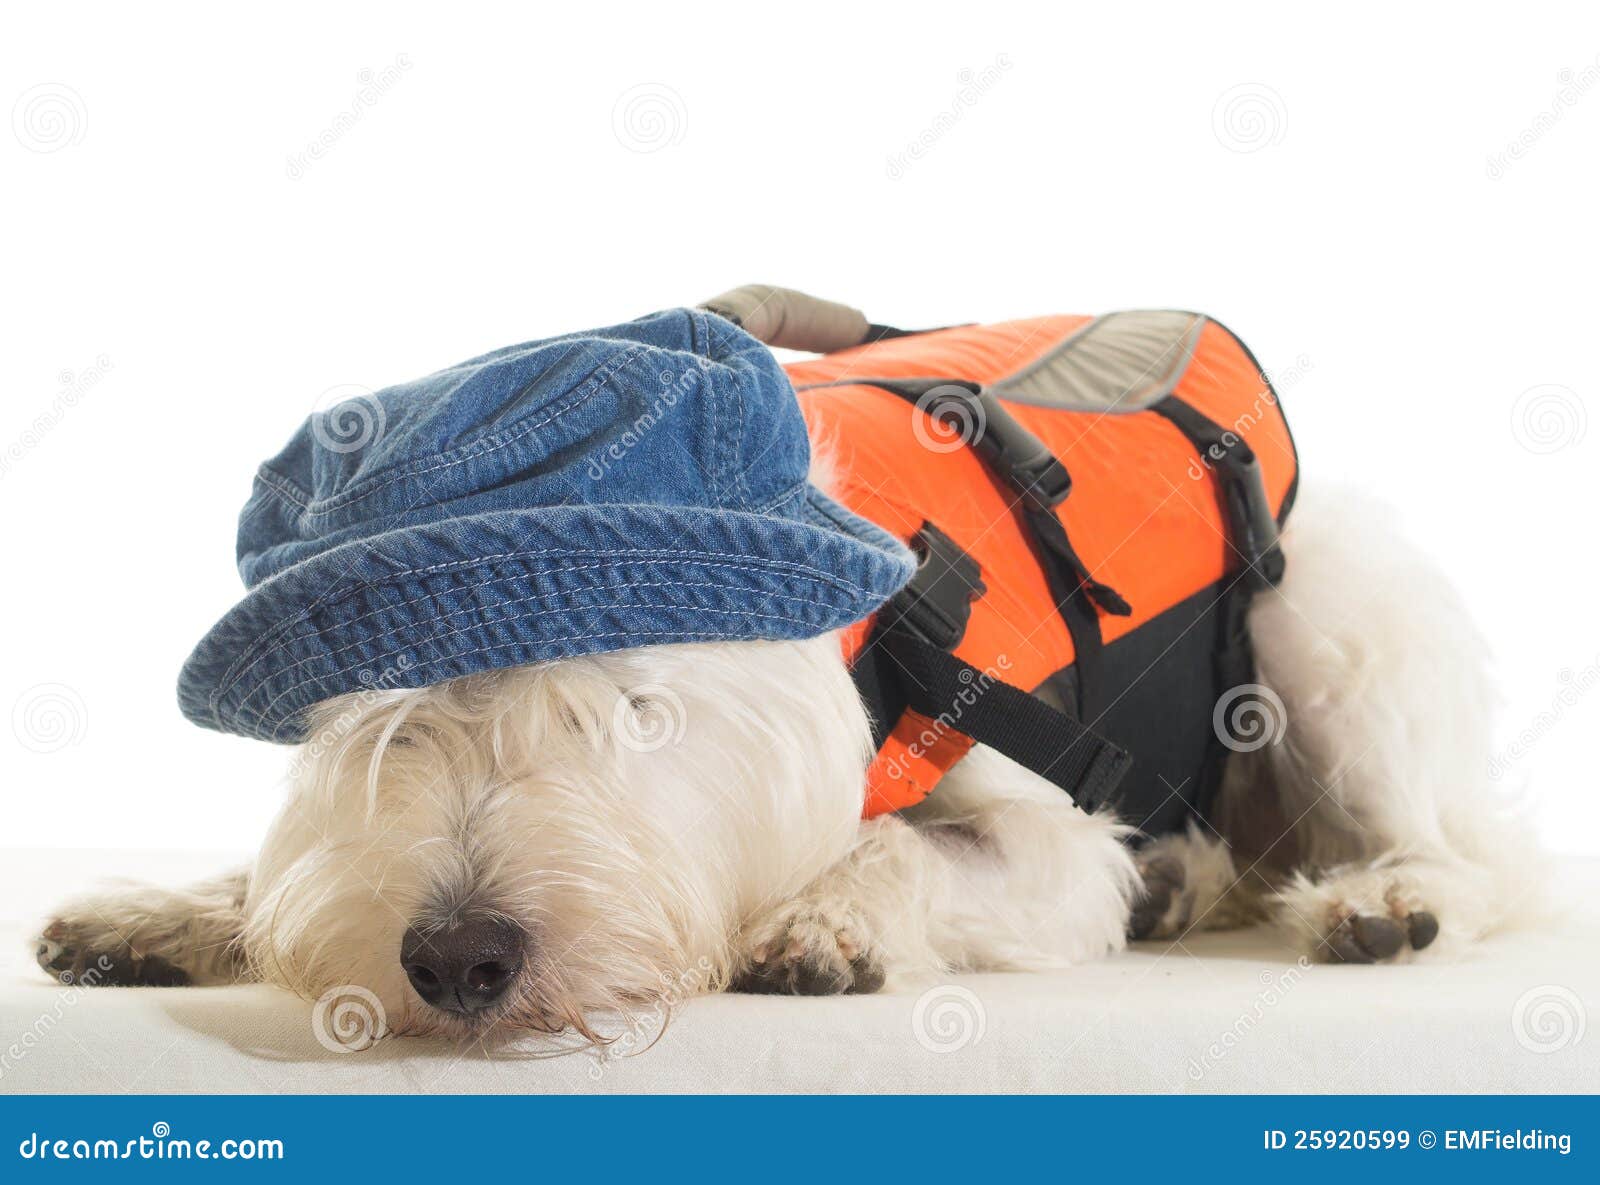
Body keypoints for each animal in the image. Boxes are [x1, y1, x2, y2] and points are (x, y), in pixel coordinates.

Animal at [37, 476, 1536, 1042]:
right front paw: (165, 913)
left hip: (1321, 614)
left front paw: (821, 915)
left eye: (626, 711)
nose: (458, 963)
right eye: (395, 726)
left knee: (1464, 857)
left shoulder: (1054, 841)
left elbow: (896, 844)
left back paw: (1390, 900)